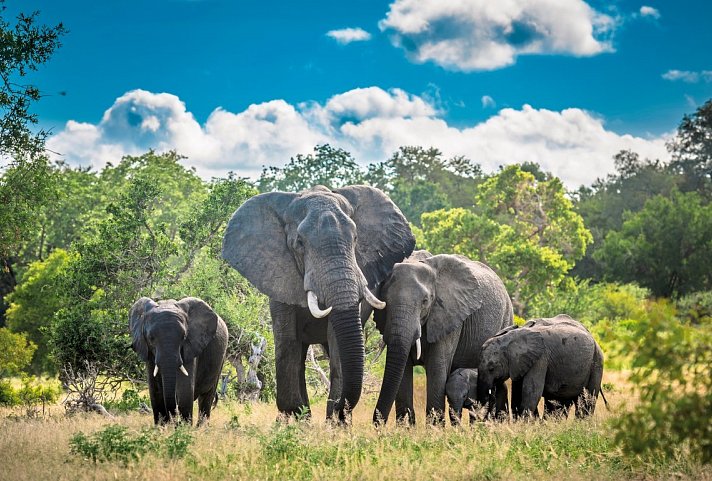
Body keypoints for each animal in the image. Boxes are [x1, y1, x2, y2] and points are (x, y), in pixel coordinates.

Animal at [129, 296, 228, 424]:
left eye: (184, 337)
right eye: (151, 338)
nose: (175, 422)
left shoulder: (191, 346)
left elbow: (184, 391)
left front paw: (184, 427)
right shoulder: (149, 353)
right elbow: (155, 392)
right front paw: (162, 427)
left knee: (207, 397)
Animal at [220, 184, 414, 420]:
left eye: (355, 238)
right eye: (299, 243)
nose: (341, 407)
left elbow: (337, 342)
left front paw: (334, 420)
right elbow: (287, 342)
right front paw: (296, 419)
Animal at [372, 251, 512, 424]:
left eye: (425, 301)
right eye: (385, 300)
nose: (377, 423)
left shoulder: (450, 315)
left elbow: (437, 367)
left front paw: (434, 428)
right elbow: (403, 370)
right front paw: (406, 428)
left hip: (506, 319)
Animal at [478, 314, 608, 418]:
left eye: (491, 368)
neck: (510, 338)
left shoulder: (540, 359)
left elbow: (531, 392)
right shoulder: (520, 363)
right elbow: (517, 394)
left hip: (596, 362)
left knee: (586, 400)